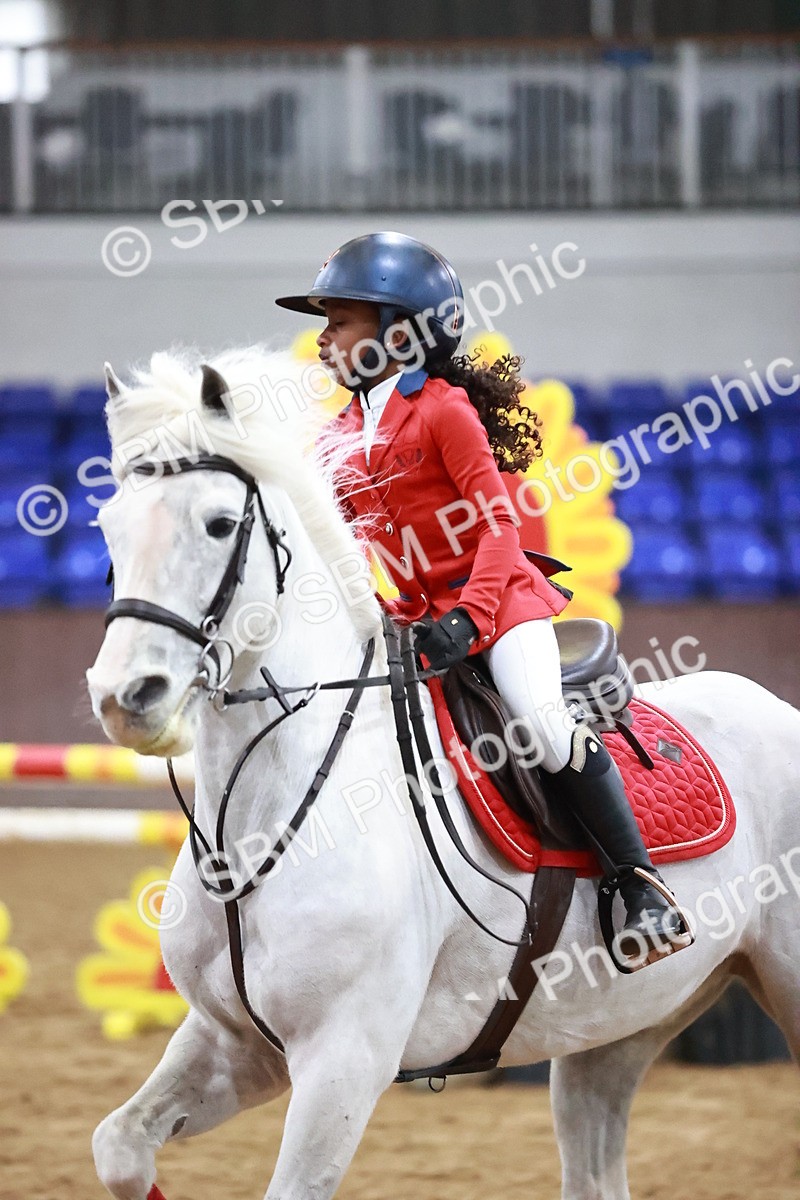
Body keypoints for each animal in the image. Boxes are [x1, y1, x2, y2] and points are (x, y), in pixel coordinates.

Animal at [87, 347, 800, 1200]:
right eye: (109, 526)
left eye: (220, 523)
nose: (125, 697)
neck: (259, 819)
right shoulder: (237, 1042)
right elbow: (119, 1147)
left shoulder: (345, 1059)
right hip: (620, 1025)